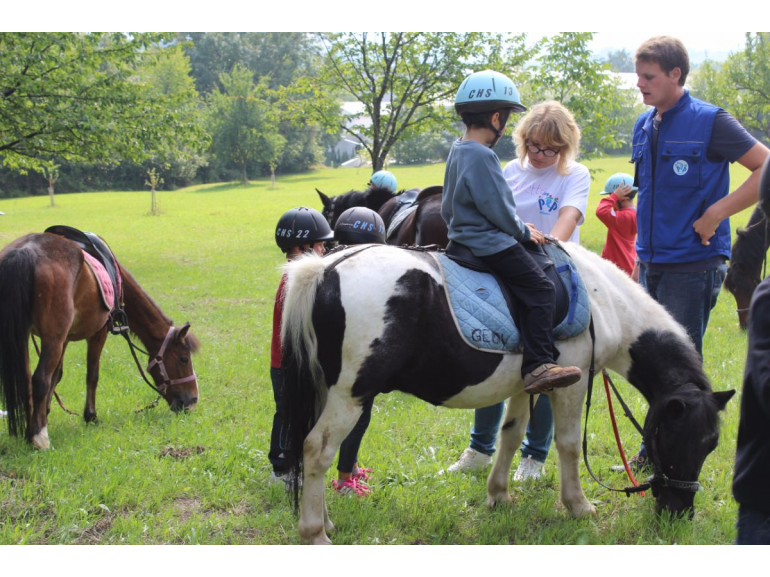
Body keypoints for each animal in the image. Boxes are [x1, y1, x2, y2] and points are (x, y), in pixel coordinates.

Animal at [0, 232, 198, 448]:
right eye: (184, 359)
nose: (192, 400)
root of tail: (26, 250)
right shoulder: (97, 333)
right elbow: (91, 375)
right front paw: (90, 416)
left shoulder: (64, 338)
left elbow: (57, 375)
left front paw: (45, 413)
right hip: (52, 338)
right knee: (39, 379)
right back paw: (39, 437)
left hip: (26, 335)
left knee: (26, 379)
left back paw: (31, 431)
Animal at [280, 241, 732, 544]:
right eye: (681, 440)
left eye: (711, 446)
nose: (679, 513)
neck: (602, 301)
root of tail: (325, 268)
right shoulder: (572, 384)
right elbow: (568, 445)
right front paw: (579, 505)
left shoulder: (530, 381)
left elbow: (511, 435)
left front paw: (499, 496)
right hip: (350, 395)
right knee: (316, 450)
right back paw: (315, 531)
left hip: (328, 391)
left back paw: (327, 521)